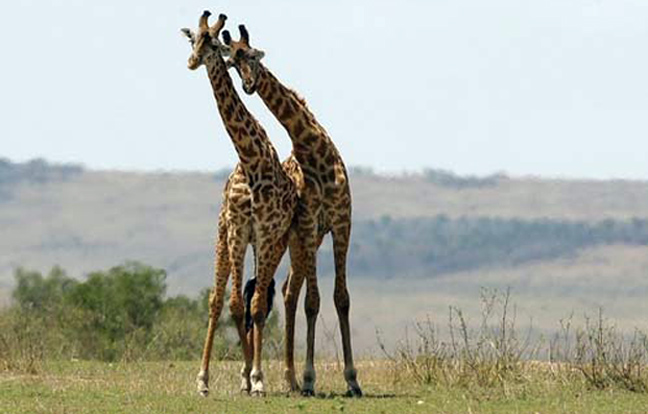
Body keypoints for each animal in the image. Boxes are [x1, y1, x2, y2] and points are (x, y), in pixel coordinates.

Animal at [181, 11, 297, 397]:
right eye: (194, 40)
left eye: (212, 43)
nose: (192, 62)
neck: (250, 160)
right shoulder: (236, 229)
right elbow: (231, 303)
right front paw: (236, 376)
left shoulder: (265, 232)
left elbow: (257, 304)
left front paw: (258, 377)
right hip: (228, 239)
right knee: (222, 300)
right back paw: (216, 377)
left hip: (273, 244)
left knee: (260, 300)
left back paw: (258, 375)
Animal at [223, 25, 363, 397]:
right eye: (233, 62)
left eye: (252, 55)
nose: (248, 85)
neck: (315, 152)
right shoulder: (310, 225)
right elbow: (314, 301)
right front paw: (313, 378)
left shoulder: (342, 224)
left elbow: (341, 298)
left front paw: (353, 380)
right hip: (292, 239)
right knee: (287, 292)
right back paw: (290, 379)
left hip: (300, 241)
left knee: (288, 291)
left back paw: (291, 379)